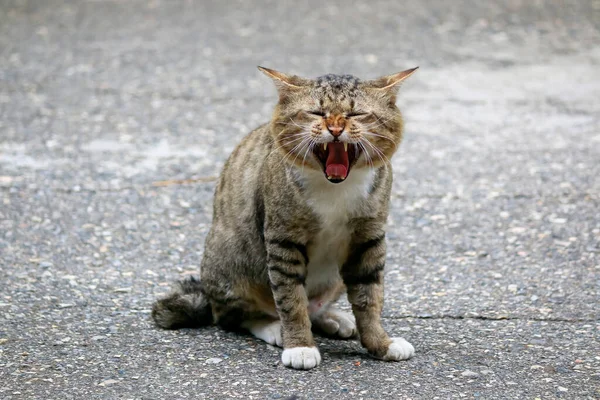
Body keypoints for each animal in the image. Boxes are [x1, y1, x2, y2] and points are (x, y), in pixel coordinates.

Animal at [152, 65, 420, 368]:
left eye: (356, 114)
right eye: (316, 112)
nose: (335, 129)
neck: (334, 188)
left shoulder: (369, 239)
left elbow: (369, 297)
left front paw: (381, 343)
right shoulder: (284, 238)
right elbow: (291, 299)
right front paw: (300, 345)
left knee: (314, 306)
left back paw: (332, 318)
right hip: (230, 256)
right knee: (234, 316)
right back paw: (272, 326)